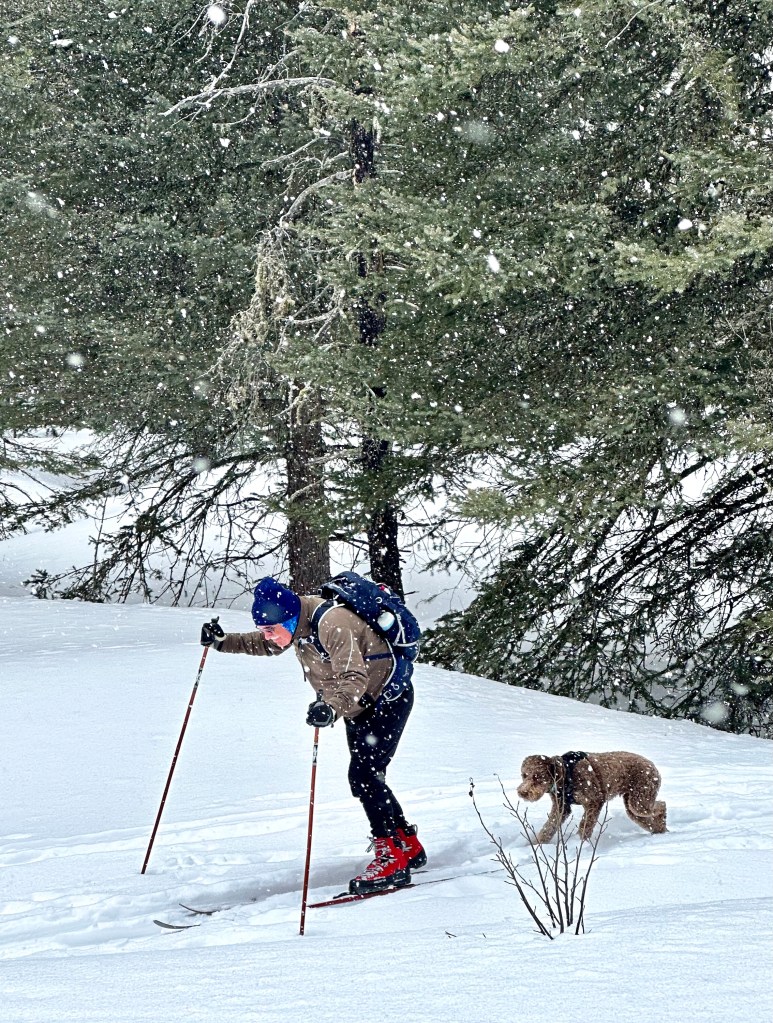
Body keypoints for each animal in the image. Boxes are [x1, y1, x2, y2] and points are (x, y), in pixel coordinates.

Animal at [517, 751, 667, 843]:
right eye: (524, 775)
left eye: (537, 777)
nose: (522, 792)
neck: (566, 772)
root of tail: (653, 766)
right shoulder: (561, 807)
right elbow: (548, 828)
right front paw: (536, 845)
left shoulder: (594, 801)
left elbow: (585, 826)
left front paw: (580, 845)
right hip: (633, 806)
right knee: (649, 819)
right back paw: (660, 830)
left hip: (639, 801)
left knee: (662, 805)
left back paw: (663, 820)